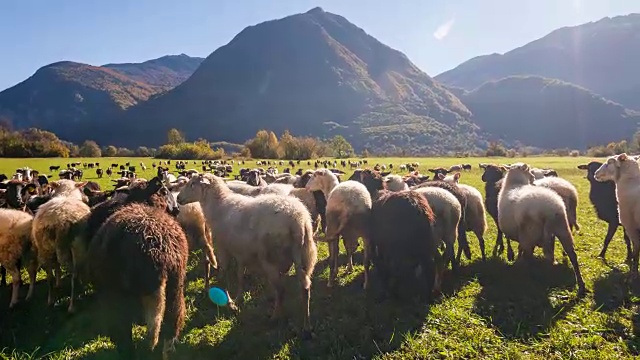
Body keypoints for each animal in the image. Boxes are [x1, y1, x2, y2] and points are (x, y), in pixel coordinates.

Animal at [31, 180, 90, 312]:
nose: (87, 199)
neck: (66, 194)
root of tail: (61, 220)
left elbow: (57, 267)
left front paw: (59, 283)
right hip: (77, 248)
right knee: (74, 275)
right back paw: (72, 306)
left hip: (45, 249)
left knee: (50, 277)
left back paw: (50, 301)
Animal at [175, 173, 318, 334]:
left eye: (192, 184)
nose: (178, 198)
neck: (218, 206)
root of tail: (298, 220)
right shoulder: (241, 252)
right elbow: (239, 275)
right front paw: (238, 298)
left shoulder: (223, 249)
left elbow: (224, 275)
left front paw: (229, 301)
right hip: (304, 255)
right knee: (305, 287)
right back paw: (306, 325)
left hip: (271, 259)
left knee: (281, 290)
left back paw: (275, 316)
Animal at [500, 163, 584, 296]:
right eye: (529, 171)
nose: (533, 178)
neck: (515, 184)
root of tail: (549, 210)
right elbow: (519, 248)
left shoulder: (520, 233)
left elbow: (518, 247)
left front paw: (516, 260)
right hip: (563, 229)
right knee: (572, 255)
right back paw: (581, 285)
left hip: (530, 233)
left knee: (530, 257)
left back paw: (529, 280)